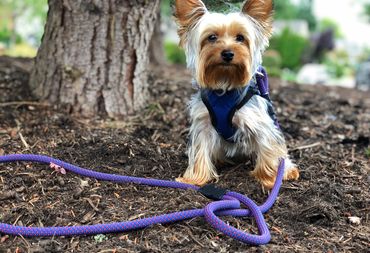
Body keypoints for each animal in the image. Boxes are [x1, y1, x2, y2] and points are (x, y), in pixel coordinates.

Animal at [175, 0, 300, 188]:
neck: (225, 84)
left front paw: (270, 180)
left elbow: (268, 148)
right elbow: (200, 150)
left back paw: (288, 171)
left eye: (240, 38)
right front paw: (194, 179)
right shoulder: (203, 123)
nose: (227, 53)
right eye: (212, 37)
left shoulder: (260, 123)